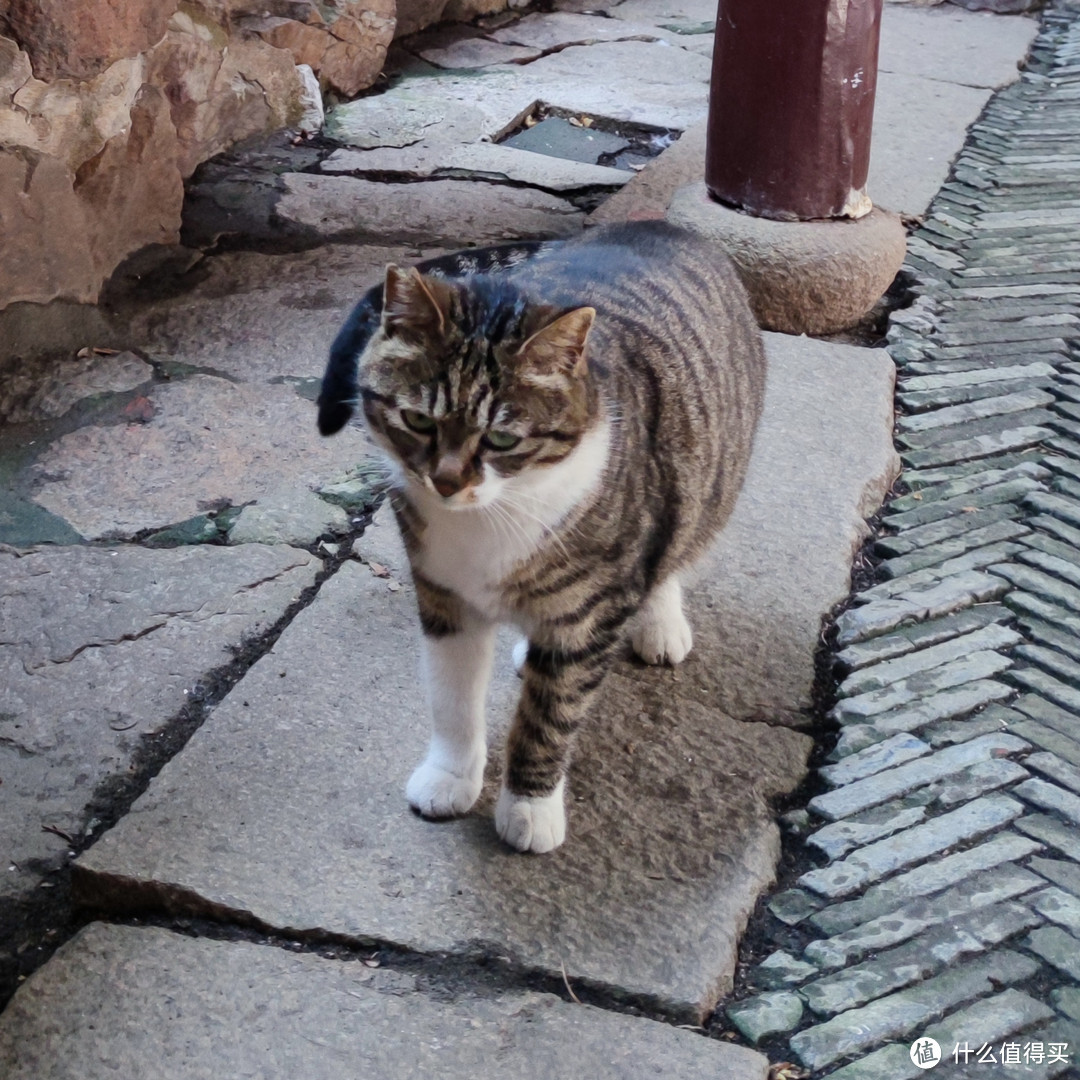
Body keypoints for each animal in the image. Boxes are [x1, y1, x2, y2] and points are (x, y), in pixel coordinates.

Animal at [315, 223, 764, 855]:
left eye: (502, 439)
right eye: (419, 421)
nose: (446, 481)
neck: (490, 517)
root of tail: (658, 225)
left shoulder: (588, 612)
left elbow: (552, 715)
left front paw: (529, 807)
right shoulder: (443, 596)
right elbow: (451, 699)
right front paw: (451, 776)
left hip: (703, 480)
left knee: (671, 550)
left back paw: (659, 622)